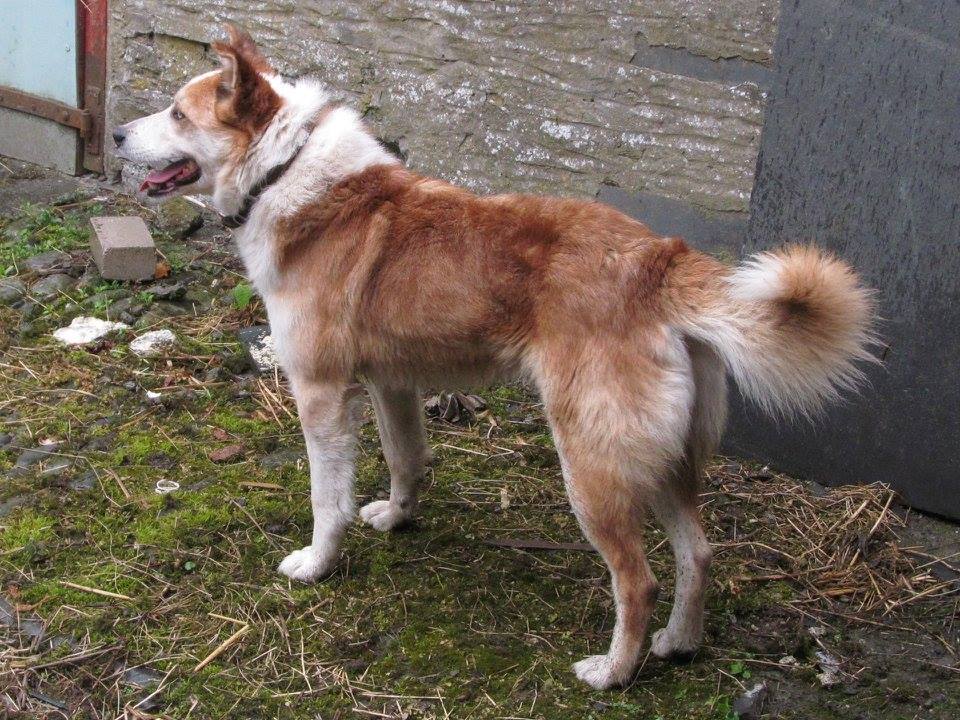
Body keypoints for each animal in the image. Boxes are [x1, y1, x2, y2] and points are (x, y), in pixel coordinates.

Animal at [114, 25, 876, 688]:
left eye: (176, 112)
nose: (116, 135)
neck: (284, 171)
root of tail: (657, 259)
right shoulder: (393, 385)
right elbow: (408, 460)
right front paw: (398, 519)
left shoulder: (323, 391)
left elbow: (328, 499)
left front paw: (317, 564)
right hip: (658, 459)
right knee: (698, 553)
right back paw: (678, 644)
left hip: (592, 464)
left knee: (640, 579)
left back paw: (613, 673)